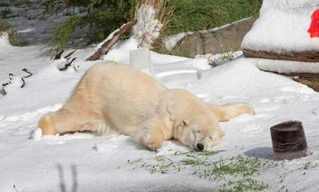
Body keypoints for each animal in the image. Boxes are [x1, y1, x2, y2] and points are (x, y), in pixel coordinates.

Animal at [38, 62, 255, 151]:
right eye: (197, 132)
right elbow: (151, 128)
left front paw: (249, 109)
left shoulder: (205, 107)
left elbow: (220, 111)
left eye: (210, 137)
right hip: (94, 99)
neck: (183, 104)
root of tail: (88, 71)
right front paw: (154, 145)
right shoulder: (165, 114)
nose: (200, 147)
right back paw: (43, 130)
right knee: (73, 116)